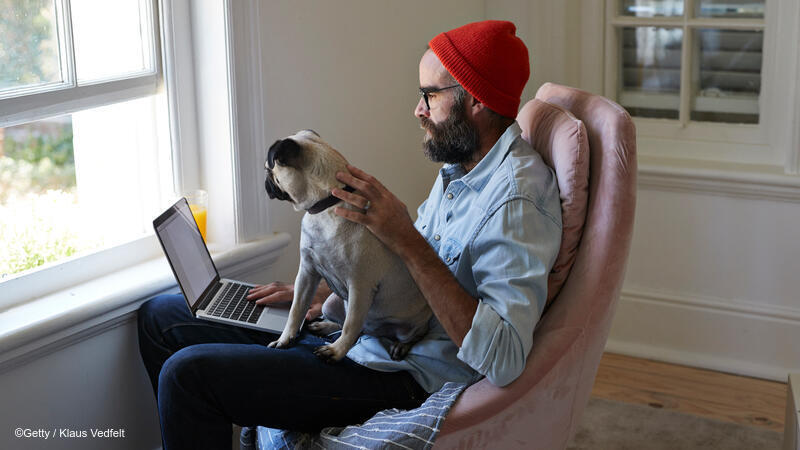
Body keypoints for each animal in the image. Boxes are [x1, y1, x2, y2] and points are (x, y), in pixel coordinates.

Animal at [264, 130, 432, 362]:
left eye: (268, 169)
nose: (266, 182)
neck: (328, 204)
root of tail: (375, 331)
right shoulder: (307, 273)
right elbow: (296, 310)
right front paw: (285, 338)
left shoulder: (359, 286)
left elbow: (351, 325)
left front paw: (337, 351)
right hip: (331, 302)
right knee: (348, 324)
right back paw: (326, 326)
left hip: (408, 325)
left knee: (407, 333)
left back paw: (401, 345)